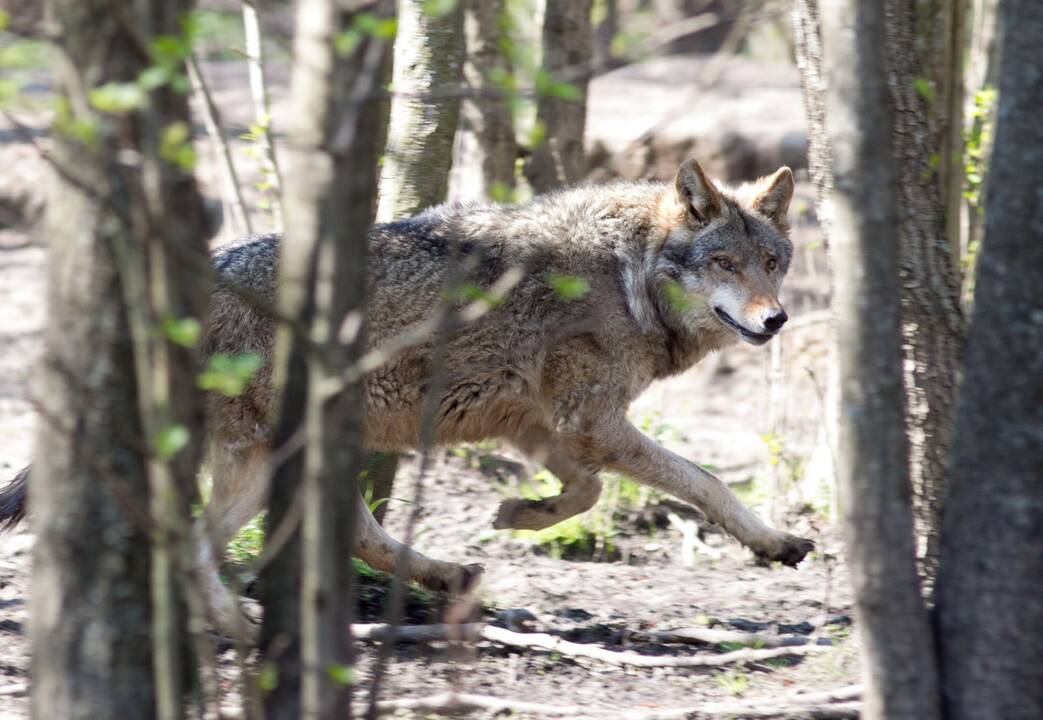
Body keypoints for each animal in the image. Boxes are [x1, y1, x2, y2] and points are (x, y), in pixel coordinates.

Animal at [2, 159, 813, 630]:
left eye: (773, 262)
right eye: (726, 263)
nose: (775, 320)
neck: (628, 273)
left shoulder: (541, 423)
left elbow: (584, 493)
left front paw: (520, 514)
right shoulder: (588, 422)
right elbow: (702, 481)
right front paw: (770, 541)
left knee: (355, 530)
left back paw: (446, 574)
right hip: (265, 460)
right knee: (196, 544)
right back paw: (235, 624)